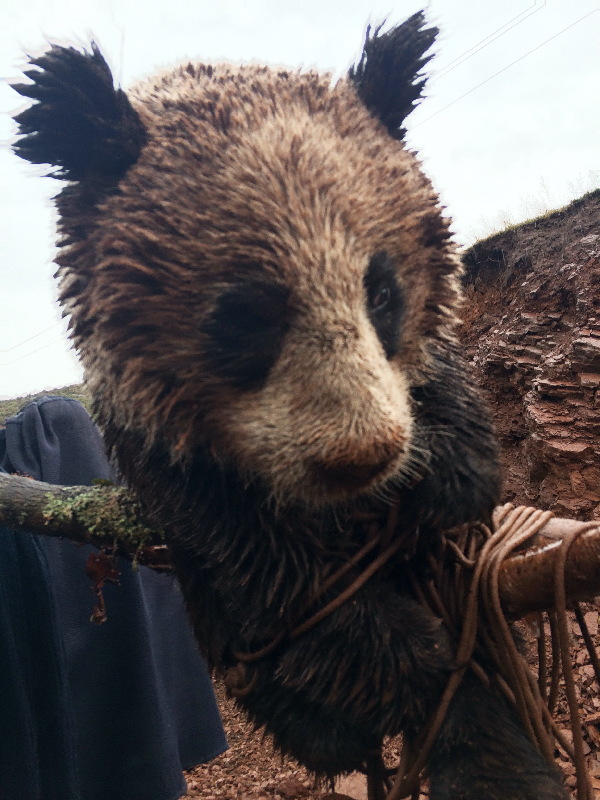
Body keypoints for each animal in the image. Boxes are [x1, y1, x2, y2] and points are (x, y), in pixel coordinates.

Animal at [12, 12, 566, 799]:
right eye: (245, 320)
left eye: (382, 293)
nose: (363, 458)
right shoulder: (173, 462)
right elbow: (283, 593)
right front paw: (433, 679)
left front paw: (449, 475)